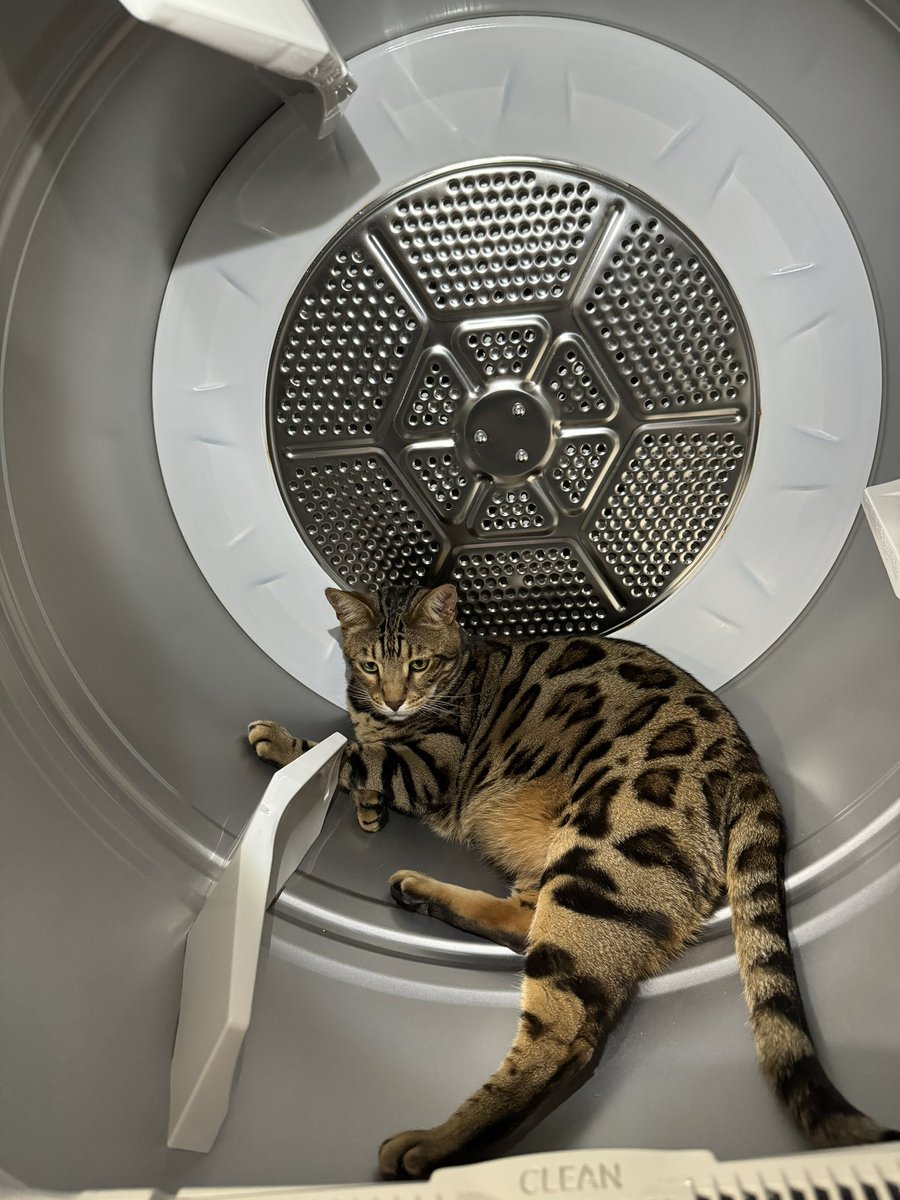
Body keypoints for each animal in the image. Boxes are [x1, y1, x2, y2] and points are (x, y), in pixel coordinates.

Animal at [244, 580, 897, 1180]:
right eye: (370, 664)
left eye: (420, 664)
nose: (396, 699)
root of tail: (750, 772)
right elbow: (364, 759)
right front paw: (366, 808)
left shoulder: (429, 764)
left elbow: (353, 756)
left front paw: (286, 742)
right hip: (570, 872)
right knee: (525, 930)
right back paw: (423, 894)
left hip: (595, 863)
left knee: (566, 1042)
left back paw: (433, 1145)